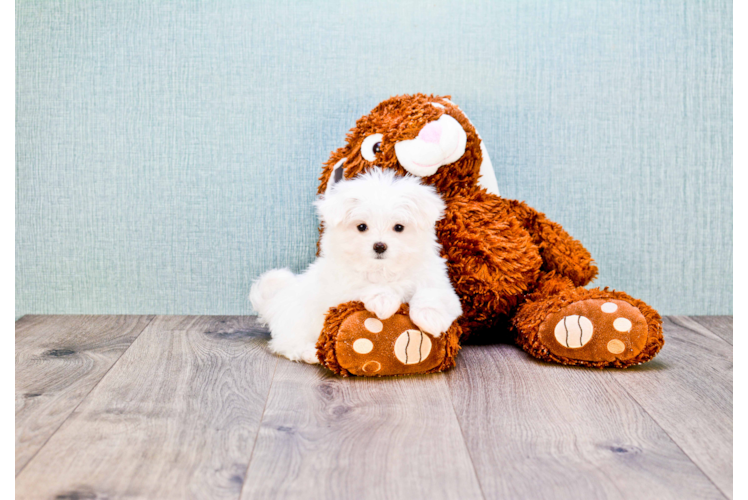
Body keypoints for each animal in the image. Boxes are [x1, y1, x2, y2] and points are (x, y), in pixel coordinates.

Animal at [250, 168, 462, 364]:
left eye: (399, 227)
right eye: (362, 227)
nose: (379, 246)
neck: (384, 270)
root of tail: (273, 301)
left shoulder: (438, 282)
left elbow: (432, 293)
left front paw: (430, 317)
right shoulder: (343, 289)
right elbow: (365, 285)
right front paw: (383, 300)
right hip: (297, 320)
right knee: (287, 343)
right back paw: (310, 353)